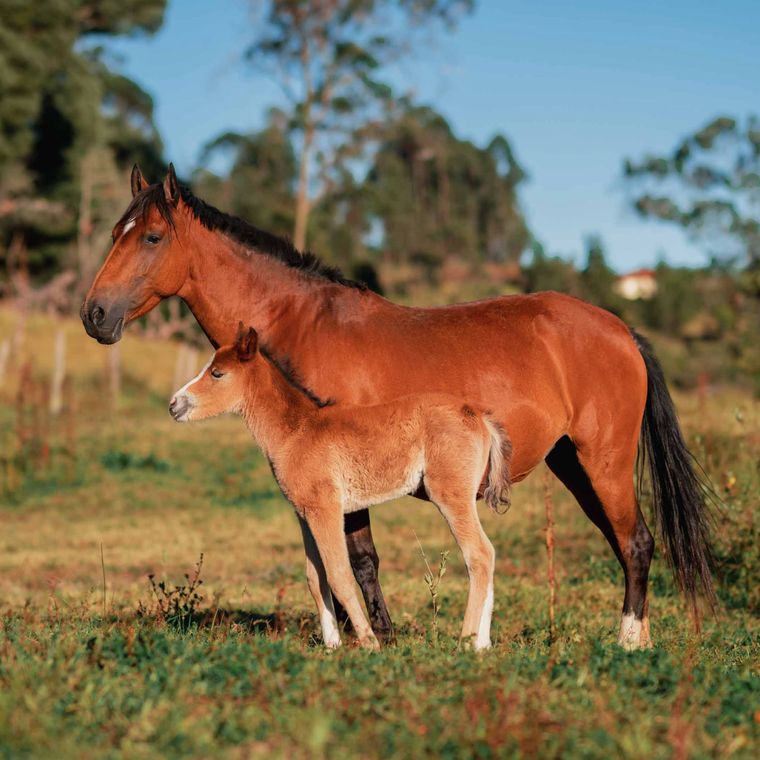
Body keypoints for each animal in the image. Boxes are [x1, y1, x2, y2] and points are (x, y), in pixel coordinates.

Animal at [169, 324, 512, 650]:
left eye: (217, 373)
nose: (174, 405)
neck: (296, 431)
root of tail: (479, 417)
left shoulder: (326, 509)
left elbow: (339, 575)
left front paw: (369, 642)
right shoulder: (304, 513)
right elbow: (315, 578)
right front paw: (332, 645)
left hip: (450, 494)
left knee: (479, 554)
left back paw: (467, 641)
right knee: (488, 554)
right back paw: (482, 644)